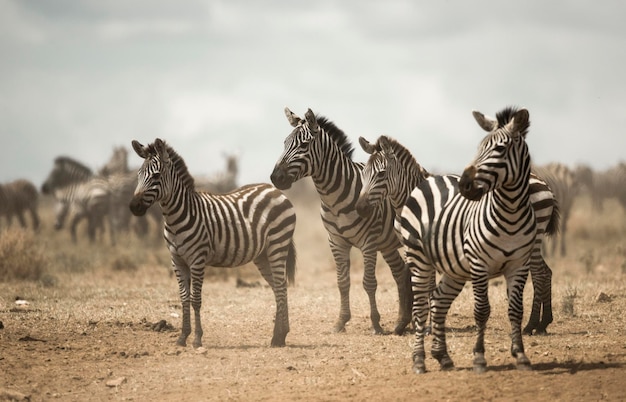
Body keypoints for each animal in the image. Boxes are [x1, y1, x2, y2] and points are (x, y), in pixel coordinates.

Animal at [128, 138, 296, 348]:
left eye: (156, 175)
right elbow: (184, 299)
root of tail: (274, 189)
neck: (176, 217)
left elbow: (196, 300)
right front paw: (182, 337)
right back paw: (282, 334)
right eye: (138, 174)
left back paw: (277, 338)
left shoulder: (197, 260)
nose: (133, 207)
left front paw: (197, 339)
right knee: (279, 287)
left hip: (277, 245)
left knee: (280, 286)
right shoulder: (177, 260)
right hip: (263, 255)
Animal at [270, 107, 410, 336]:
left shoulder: (369, 242)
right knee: (401, 273)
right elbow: (342, 282)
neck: (334, 198)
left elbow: (369, 283)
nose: (275, 178)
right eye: (284, 143)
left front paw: (376, 324)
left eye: (304, 145)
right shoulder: (336, 241)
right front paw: (341, 322)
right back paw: (405, 321)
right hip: (388, 244)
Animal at [354, 134, 560, 336]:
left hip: (530, 237)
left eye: (381, 174)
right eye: (363, 174)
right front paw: (414, 323)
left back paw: (531, 325)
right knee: (546, 272)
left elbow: (428, 285)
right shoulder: (410, 243)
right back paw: (543, 323)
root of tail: (542, 181)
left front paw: (427, 326)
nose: (361, 208)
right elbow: (416, 280)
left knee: (539, 274)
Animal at [402, 107, 540, 374]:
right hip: (419, 259)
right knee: (420, 307)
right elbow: (482, 310)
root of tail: (430, 178)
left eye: (500, 149)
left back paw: (442, 356)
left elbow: (516, 310)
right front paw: (479, 357)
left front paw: (520, 355)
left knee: (438, 301)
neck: (510, 213)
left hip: (455, 268)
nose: (465, 185)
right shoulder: (479, 264)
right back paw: (419, 360)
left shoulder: (520, 264)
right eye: (479, 147)